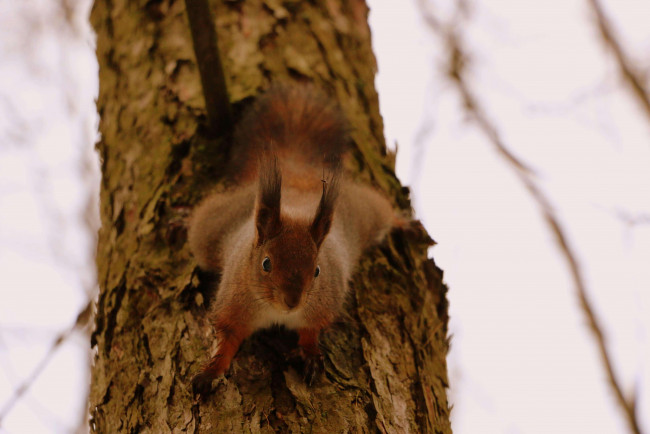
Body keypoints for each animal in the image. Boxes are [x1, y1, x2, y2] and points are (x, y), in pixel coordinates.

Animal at [187, 85, 398, 390]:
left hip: (367, 212)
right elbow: (227, 338)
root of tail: (297, 176)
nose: (293, 301)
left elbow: (311, 329)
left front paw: (309, 354)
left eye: (318, 270)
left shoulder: (323, 303)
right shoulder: (233, 304)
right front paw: (211, 371)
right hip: (210, 230)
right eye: (266, 263)